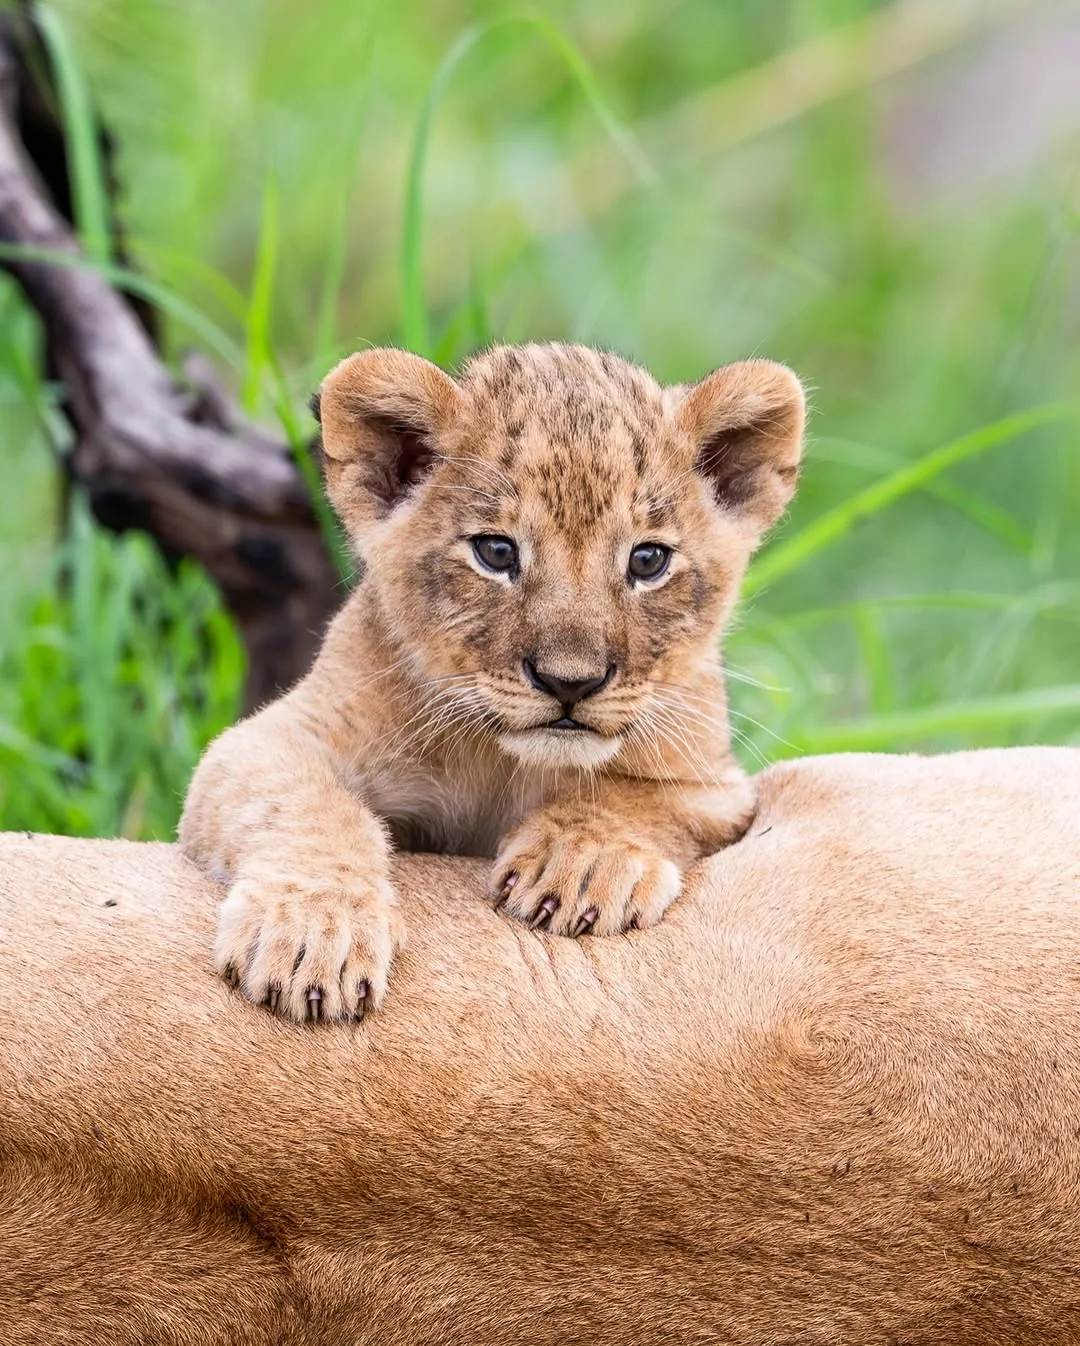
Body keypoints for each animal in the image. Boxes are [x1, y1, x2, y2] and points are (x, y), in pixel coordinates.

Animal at [180, 343, 806, 1021]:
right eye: (496, 553)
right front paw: (314, 934)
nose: (570, 682)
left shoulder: (712, 784)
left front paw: (579, 864)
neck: (501, 762)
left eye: (648, 560)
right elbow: (309, 805)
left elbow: (631, 797)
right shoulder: (272, 738)